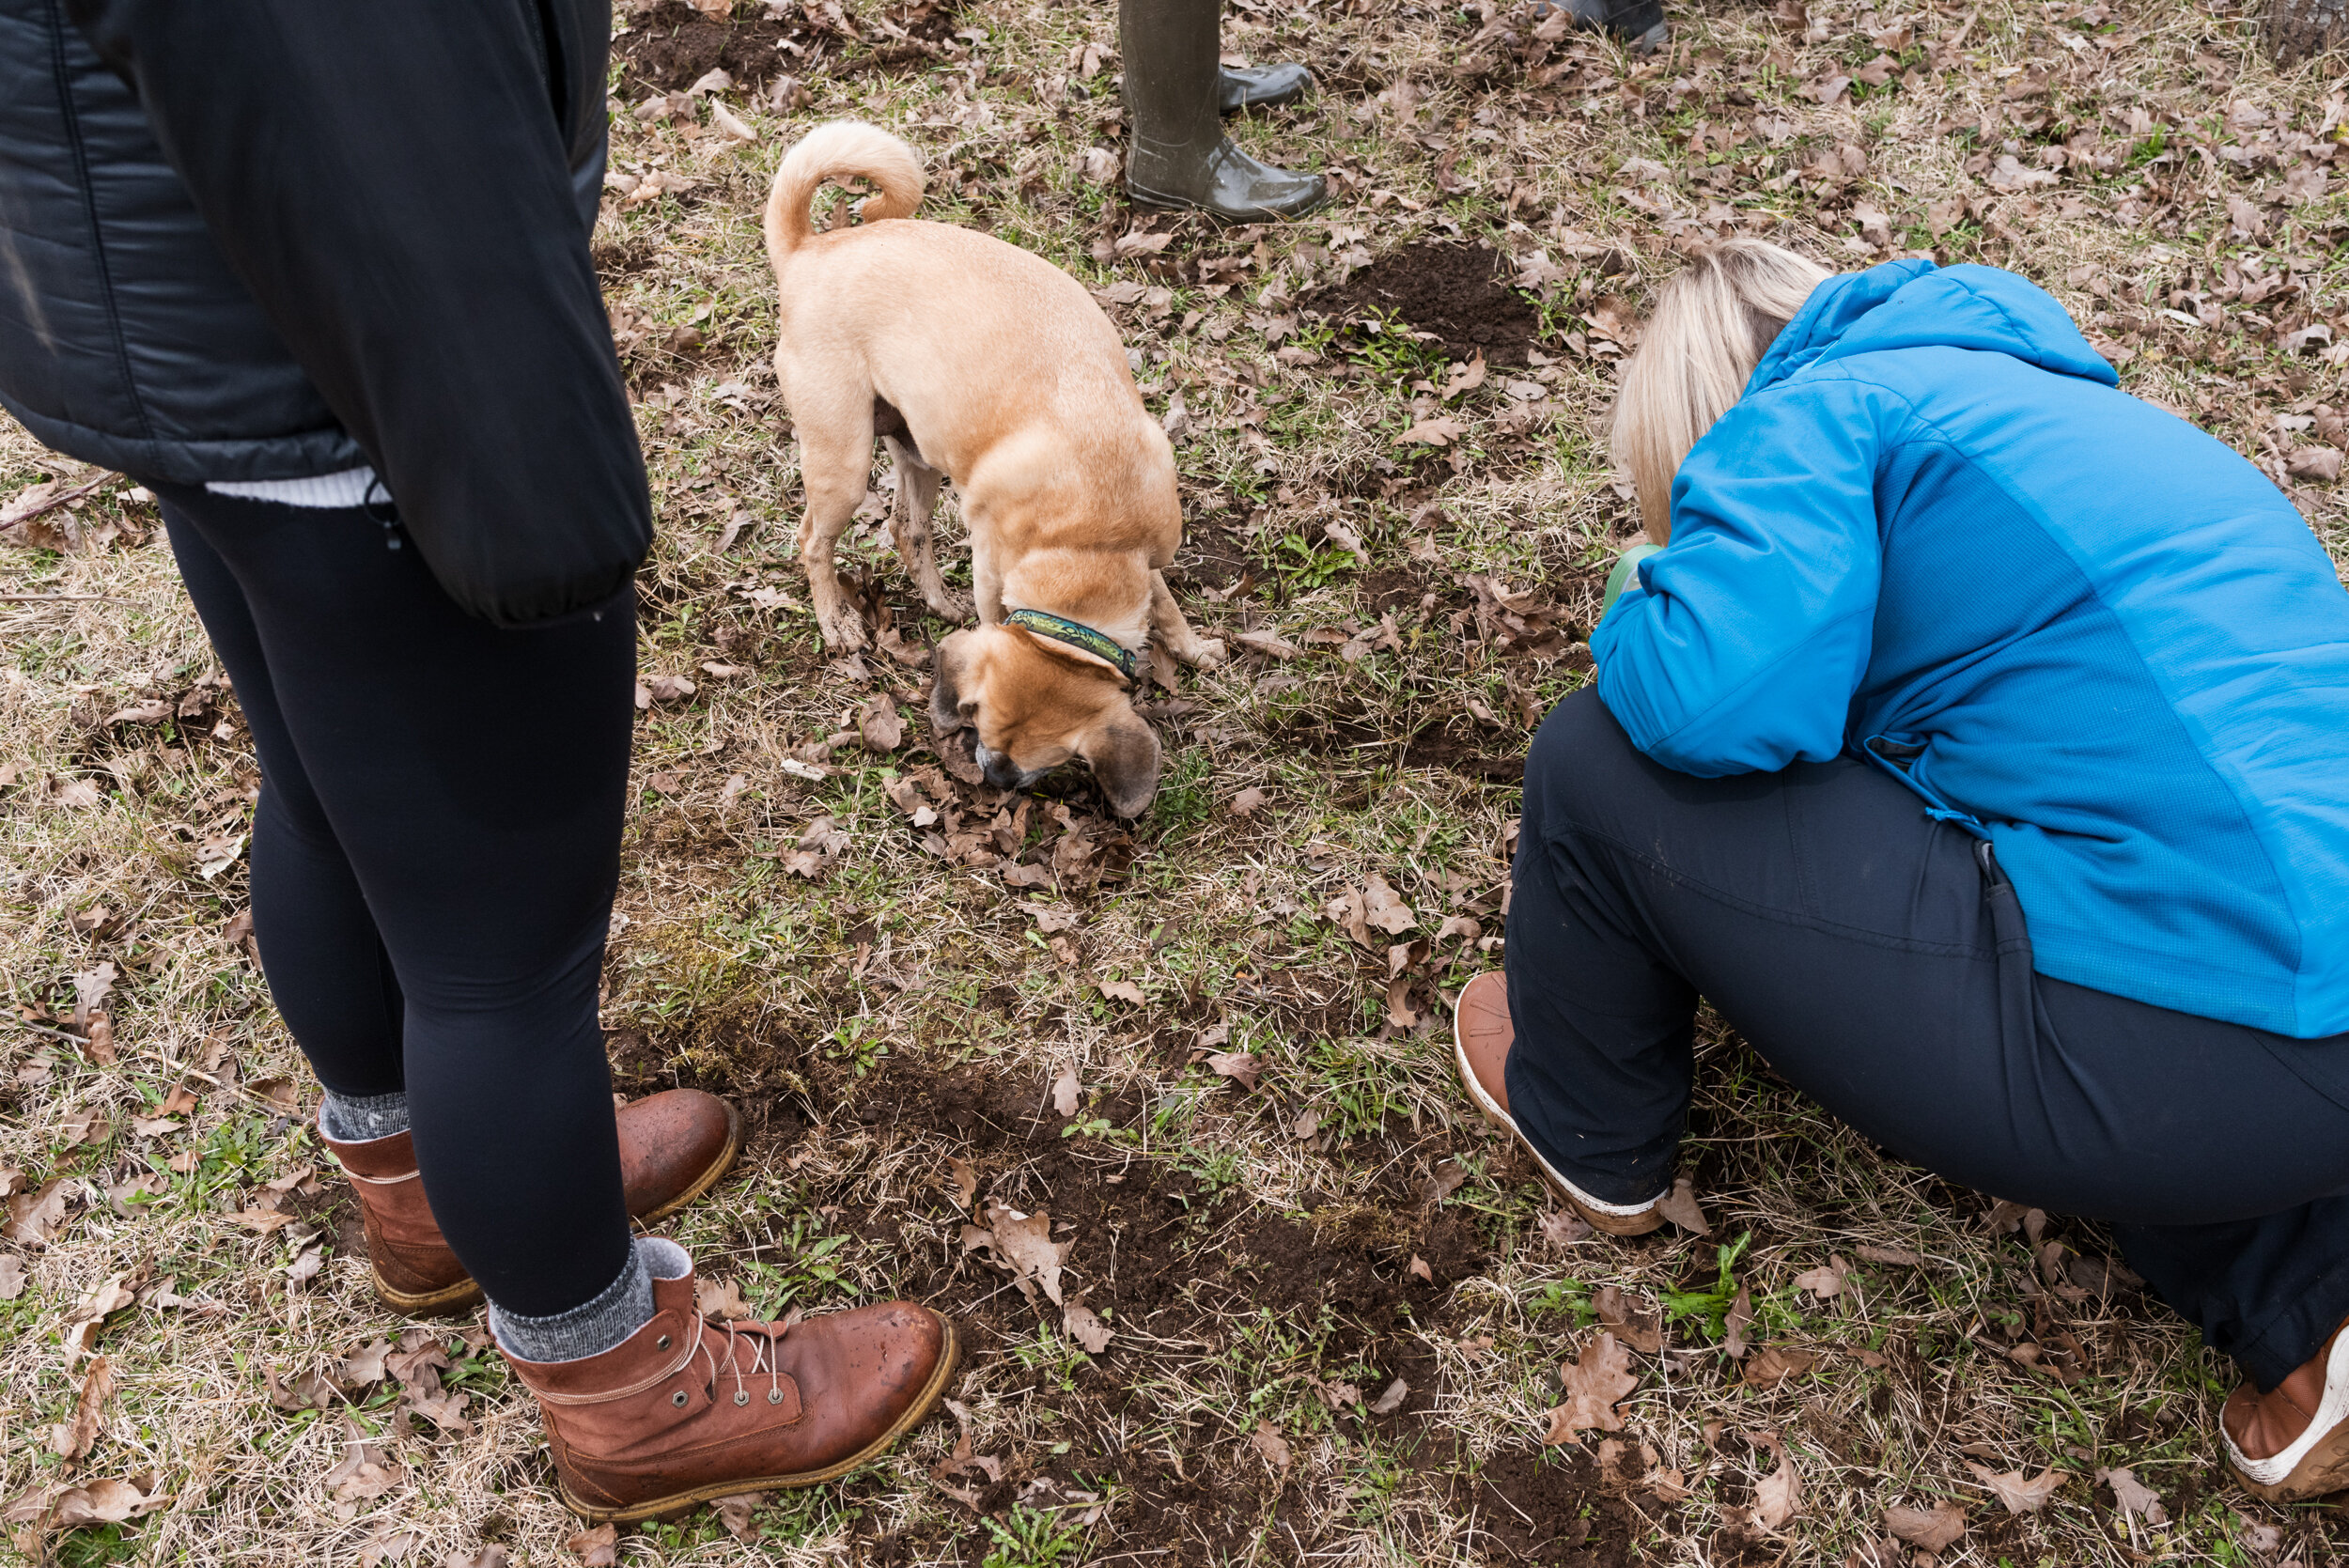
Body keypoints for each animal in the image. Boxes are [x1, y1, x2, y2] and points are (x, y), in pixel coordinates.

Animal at [766, 119, 1231, 821]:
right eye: (983, 725)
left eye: (1049, 763)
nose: (992, 776)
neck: (1089, 539)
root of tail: (809, 250)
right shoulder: (997, 570)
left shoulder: (1148, 555)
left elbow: (1168, 606)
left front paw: (1194, 649)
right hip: (842, 463)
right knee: (813, 542)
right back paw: (837, 624)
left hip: (915, 451)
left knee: (907, 530)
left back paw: (936, 601)